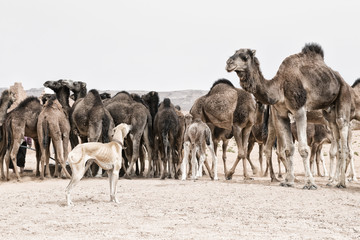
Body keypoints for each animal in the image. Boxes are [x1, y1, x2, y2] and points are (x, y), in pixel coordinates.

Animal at [228, 43, 352, 189]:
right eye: (234, 53)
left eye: (245, 57)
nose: (229, 63)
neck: (280, 86)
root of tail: (341, 79)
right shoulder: (281, 114)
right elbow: (288, 149)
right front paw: (288, 181)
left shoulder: (299, 110)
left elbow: (303, 149)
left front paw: (310, 183)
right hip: (328, 113)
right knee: (336, 135)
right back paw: (335, 181)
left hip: (343, 95)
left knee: (342, 130)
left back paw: (342, 182)